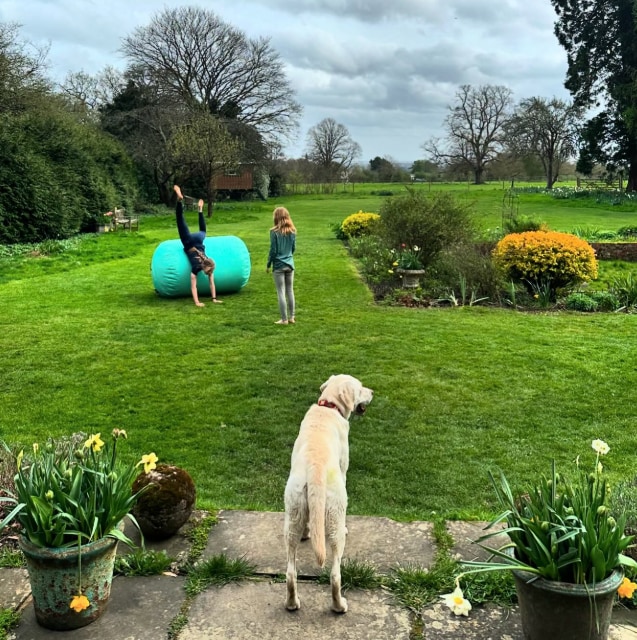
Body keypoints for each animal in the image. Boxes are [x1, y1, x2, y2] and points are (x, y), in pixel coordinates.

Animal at [284, 376, 372, 616]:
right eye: (361, 388)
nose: (372, 392)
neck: (328, 406)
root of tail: (315, 471)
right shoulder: (344, 468)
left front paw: (308, 532)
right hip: (335, 514)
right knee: (335, 574)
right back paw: (339, 606)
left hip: (292, 514)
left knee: (290, 573)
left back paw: (292, 603)